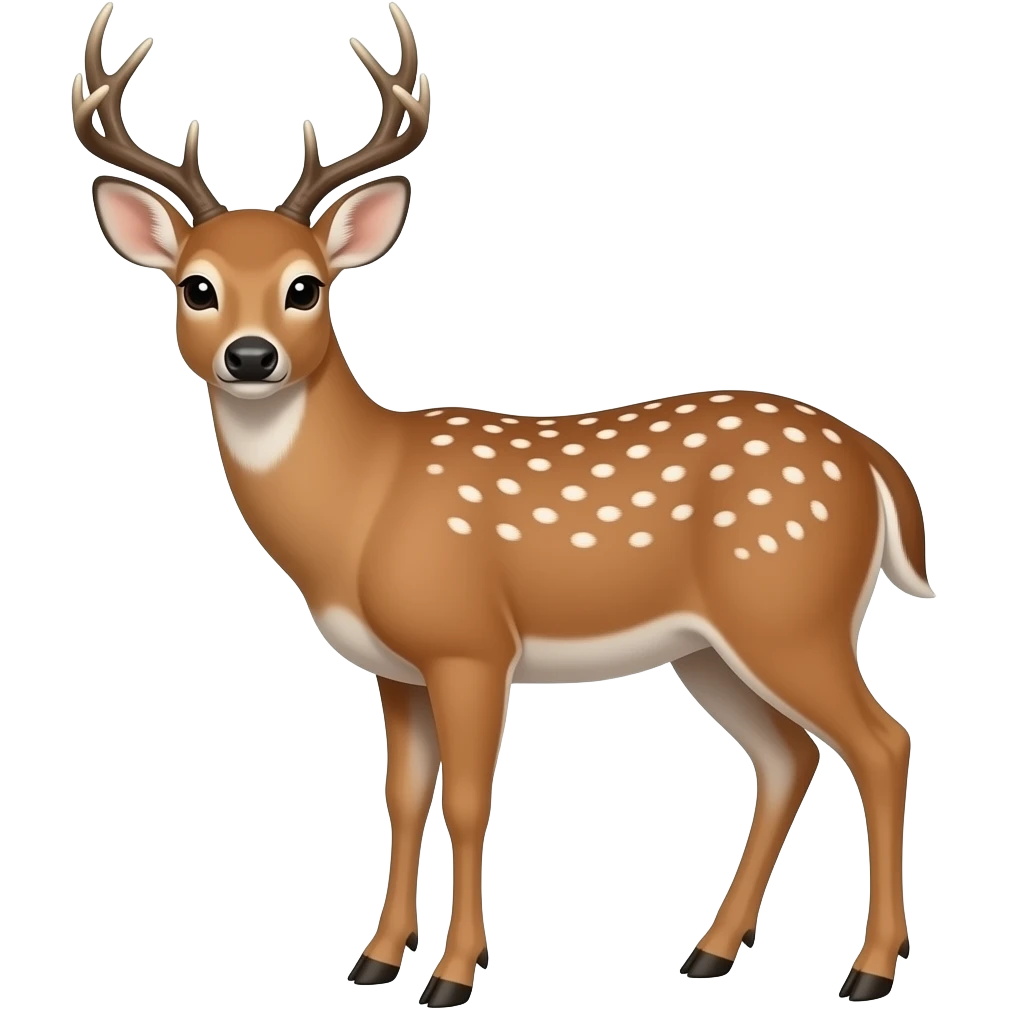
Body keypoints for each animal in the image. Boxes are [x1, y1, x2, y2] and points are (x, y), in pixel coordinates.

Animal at [72, 2, 934, 1004]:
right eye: (196, 286)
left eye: (306, 285)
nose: (251, 356)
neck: (362, 505)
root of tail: (871, 459)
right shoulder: (395, 665)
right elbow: (402, 798)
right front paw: (375, 958)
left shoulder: (469, 640)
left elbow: (470, 800)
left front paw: (451, 972)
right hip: (711, 645)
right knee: (787, 754)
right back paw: (708, 952)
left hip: (791, 607)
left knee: (880, 741)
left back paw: (867, 969)